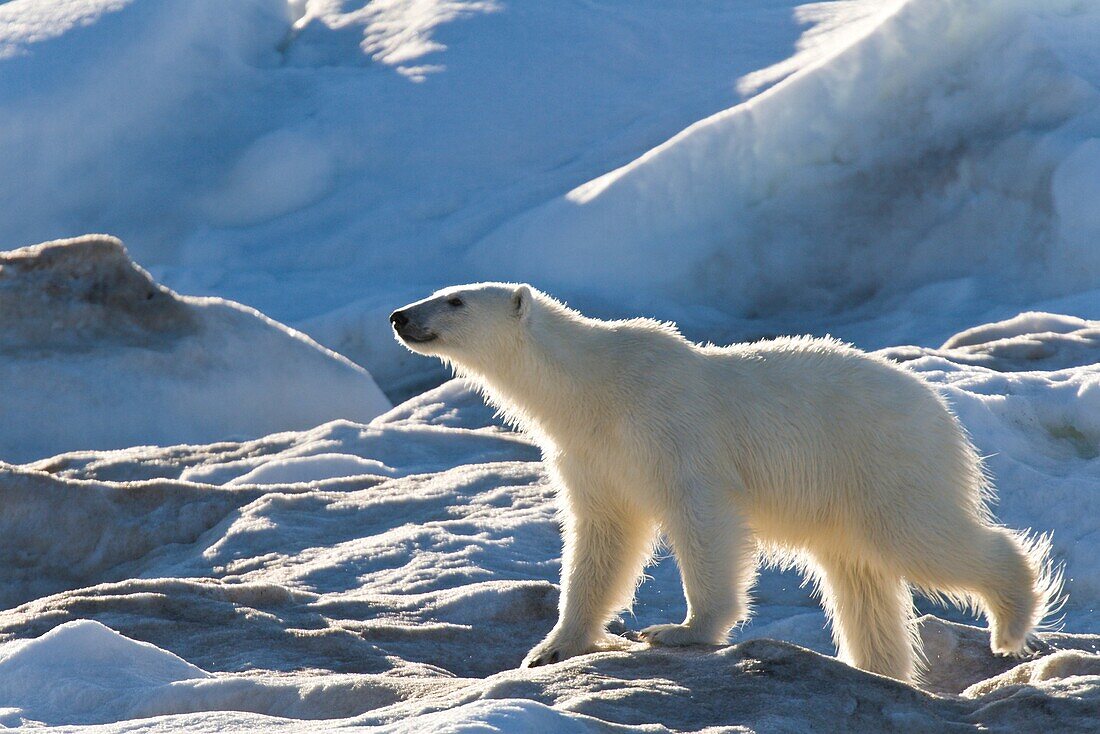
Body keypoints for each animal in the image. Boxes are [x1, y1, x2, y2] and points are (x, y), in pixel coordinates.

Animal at [391, 283, 1060, 682]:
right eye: (439, 292)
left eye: (454, 300)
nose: (399, 316)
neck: (593, 387)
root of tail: (945, 417)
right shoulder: (591, 453)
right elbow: (602, 537)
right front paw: (552, 646)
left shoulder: (669, 428)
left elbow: (702, 519)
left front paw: (682, 630)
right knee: (861, 580)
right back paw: (878, 668)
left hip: (882, 461)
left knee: (921, 537)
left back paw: (1011, 624)